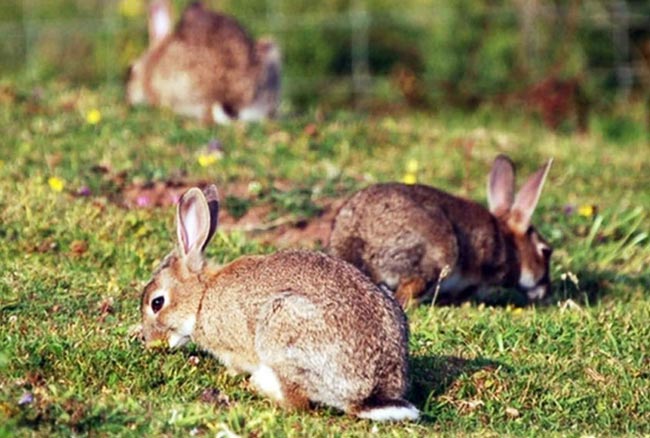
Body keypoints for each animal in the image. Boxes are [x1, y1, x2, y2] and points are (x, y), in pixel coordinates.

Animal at [140, 184, 419, 422]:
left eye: (157, 303)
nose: (149, 342)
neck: (202, 297)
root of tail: (370, 393)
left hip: (282, 330)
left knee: (297, 402)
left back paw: (259, 386)